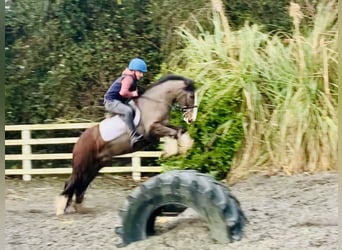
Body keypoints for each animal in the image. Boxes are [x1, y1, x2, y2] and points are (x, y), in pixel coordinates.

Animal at [54, 74, 196, 215]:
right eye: (191, 96)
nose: (191, 119)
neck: (154, 102)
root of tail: (79, 141)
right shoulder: (153, 129)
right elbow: (174, 132)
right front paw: (174, 150)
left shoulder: (162, 126)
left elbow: (179, 130)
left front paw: (182, 147)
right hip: (82, 165)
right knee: (71, 182)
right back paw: (61, 209)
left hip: (95, 166)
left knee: (81, 184)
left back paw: (77, 207)